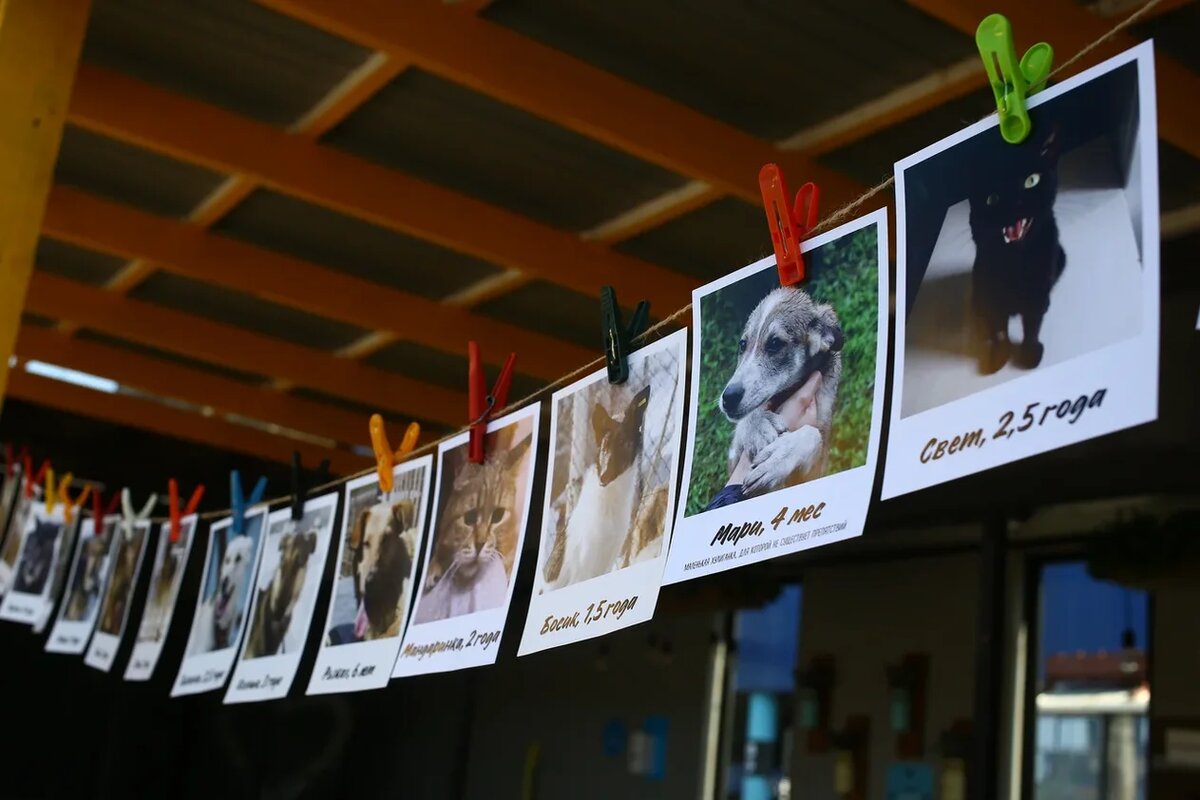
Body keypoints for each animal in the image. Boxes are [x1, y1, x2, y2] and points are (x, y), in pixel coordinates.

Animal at [719, 286, 842, 496]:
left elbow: (813, 434)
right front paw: (758, 424)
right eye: (743, 345)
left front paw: (778, 458)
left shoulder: (820, 462)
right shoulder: (733, 456)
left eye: (775, 344)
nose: (728, 399)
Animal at [969, 125, 1066, 374]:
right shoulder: (989, 286)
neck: (1016, 261)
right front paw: (998, 356)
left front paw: (1030, 351)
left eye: (1031, 180)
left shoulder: (1037, 287)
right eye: (992, 198)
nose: (1015, 203)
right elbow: (998, 327)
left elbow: (1032, 324)